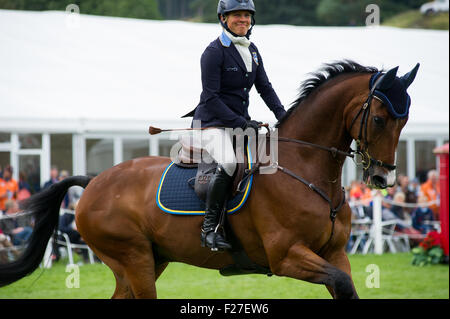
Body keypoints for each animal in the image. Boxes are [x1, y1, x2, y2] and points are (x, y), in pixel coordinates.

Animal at [0, 60, 418, 300]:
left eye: (405, 121)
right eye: (379, 118)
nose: (382, 176)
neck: (306, 170)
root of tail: (94, 182)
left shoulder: (334, 254)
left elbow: (345, 286)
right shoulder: (287, 256)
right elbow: (341, 284)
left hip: (147, 260)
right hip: (134, 259)